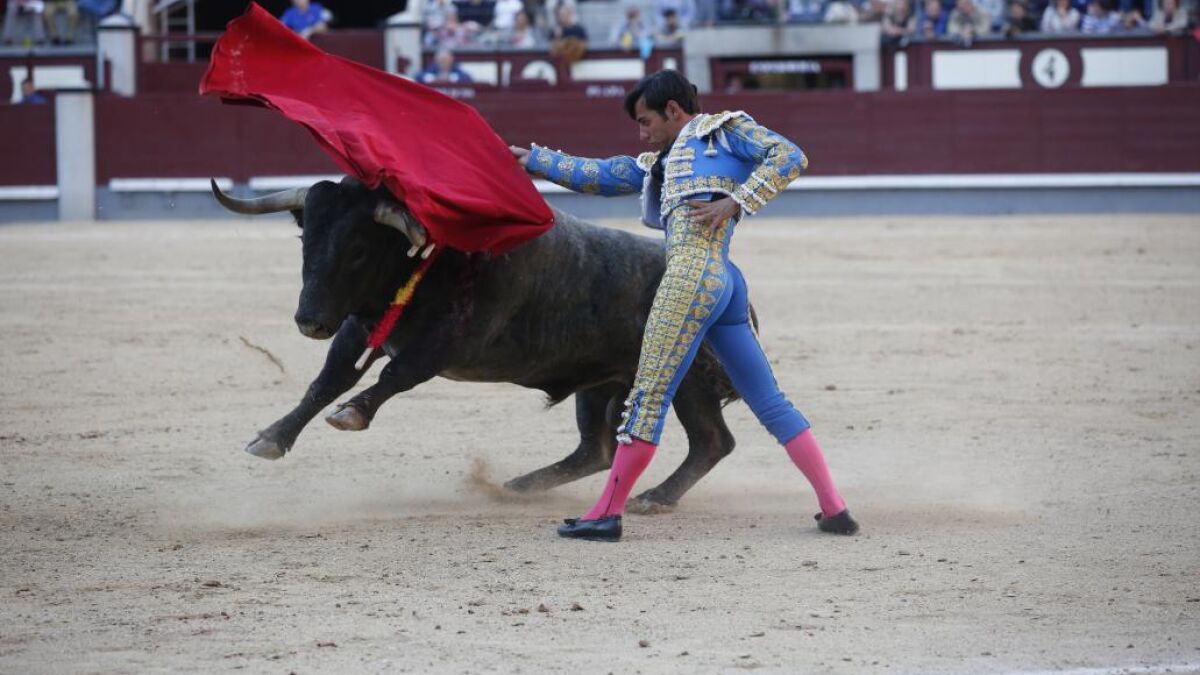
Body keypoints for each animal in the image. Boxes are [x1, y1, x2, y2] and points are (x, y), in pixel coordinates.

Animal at [212, 176, 753, 509]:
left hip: (687, 379)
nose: (310, 321)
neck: (432, 262)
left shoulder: (449, 345)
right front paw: (271, 438)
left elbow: (395, 374)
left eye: (359, 248)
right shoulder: (359, 330)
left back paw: (654, 498)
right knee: (595, 450)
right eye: (306, 239)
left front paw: (352, 413)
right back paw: (516, 487)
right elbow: (326, 381)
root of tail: (731, 286)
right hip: (601, 383)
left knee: (712, 442)